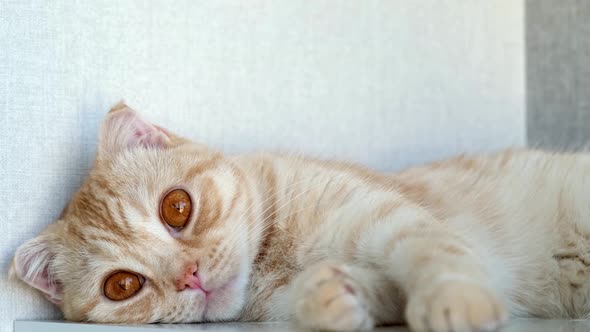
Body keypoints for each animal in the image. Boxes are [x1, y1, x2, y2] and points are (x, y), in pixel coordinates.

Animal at [8, 102, 590, 330]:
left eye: (177, 207)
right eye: (123, 286)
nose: (189, 277)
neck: (274, 261)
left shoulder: (388, 217)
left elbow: (434, 250)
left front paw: (455, 301)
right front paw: (331, 296)